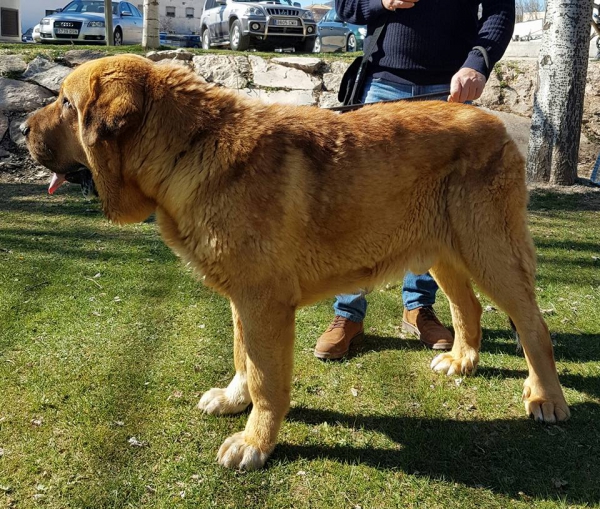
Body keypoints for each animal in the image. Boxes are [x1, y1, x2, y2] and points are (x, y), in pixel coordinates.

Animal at [22, 54, 568, 468]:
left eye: (66, 103)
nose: (23, 127)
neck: (189, 147)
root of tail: (495, 121)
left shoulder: (263, 300)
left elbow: (266, 377)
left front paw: (254, 441)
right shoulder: (243, 298)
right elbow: (242, 355)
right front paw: (234, 398)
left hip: (490, 249)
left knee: (532, 324)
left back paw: (546, 398)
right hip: (443, 251)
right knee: (467, 307)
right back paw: (461, 360)